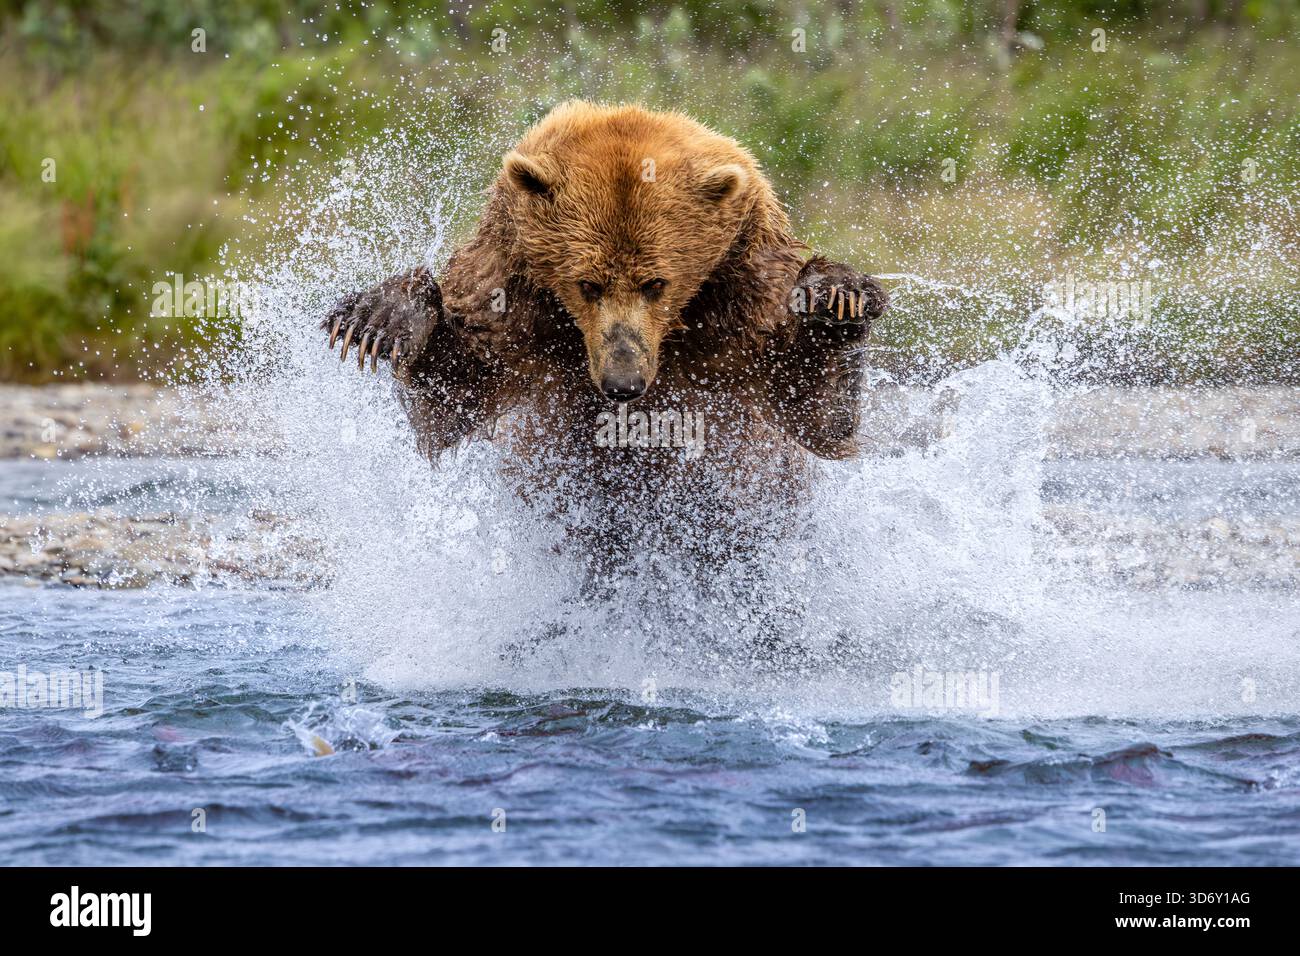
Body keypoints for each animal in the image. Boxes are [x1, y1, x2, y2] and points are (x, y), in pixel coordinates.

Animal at [320, 101, 887, 581]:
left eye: (656, 282)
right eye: (586, 283)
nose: (623, 382)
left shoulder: (743, 316)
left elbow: (814, 411)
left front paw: (838, 295)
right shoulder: (517, 314)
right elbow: (450, 398)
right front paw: (377, 317)